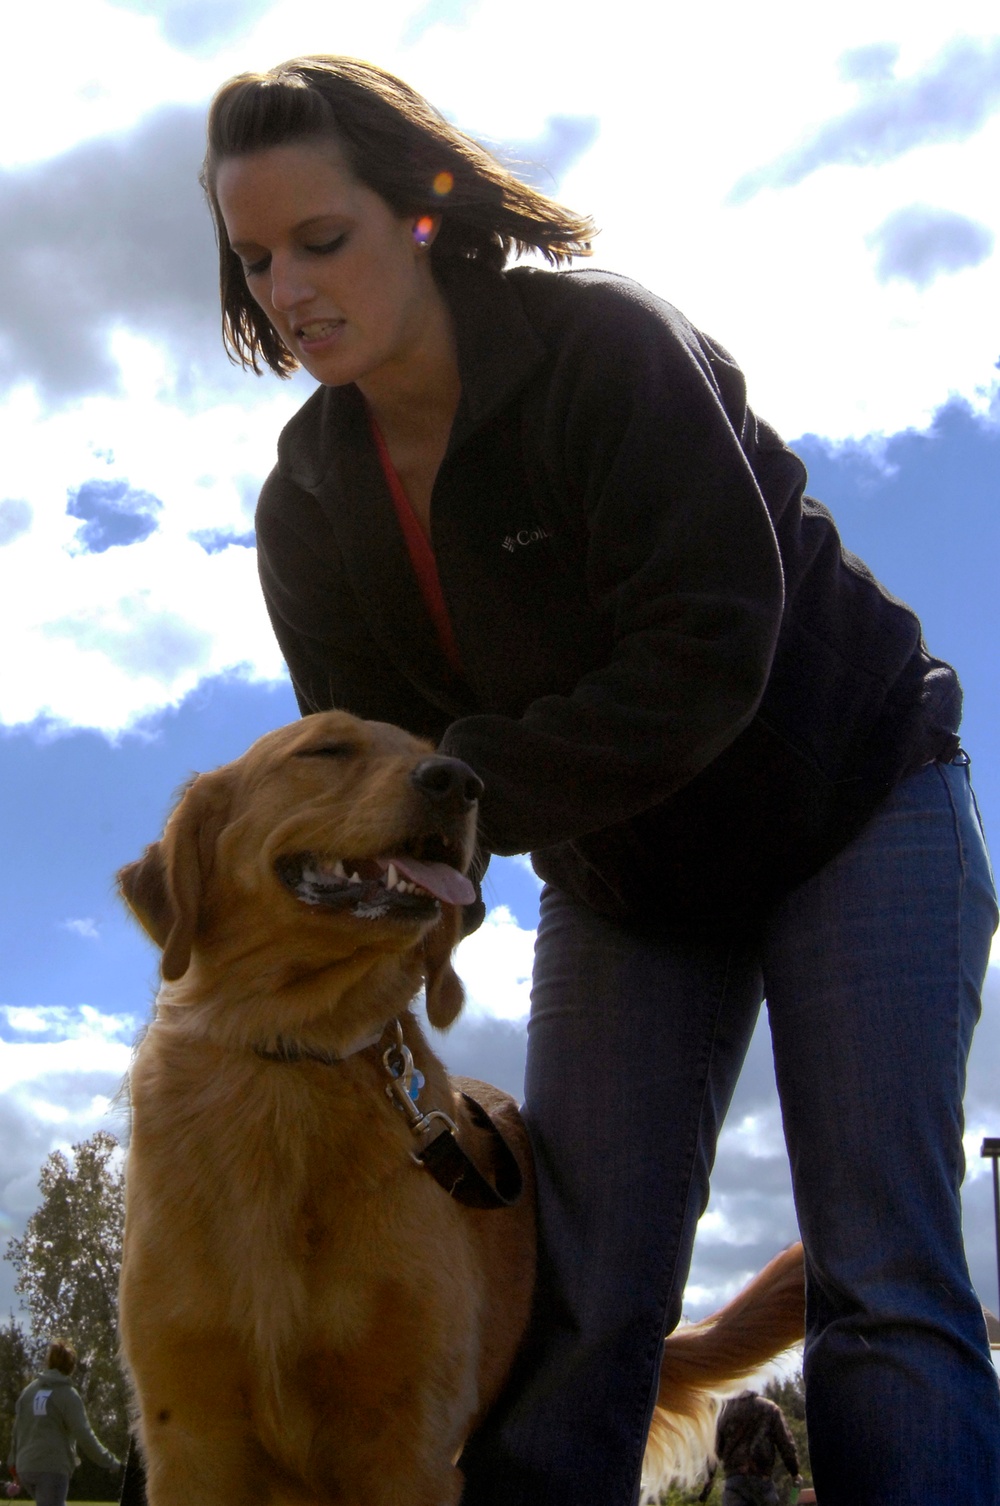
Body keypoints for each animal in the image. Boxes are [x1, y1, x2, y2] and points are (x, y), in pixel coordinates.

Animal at [117, 710, 807, 1499]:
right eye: (326, 748)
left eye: (433, 752)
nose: (459, 782)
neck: (296, 1056)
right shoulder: (191, 1436)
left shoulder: (410, 1441)